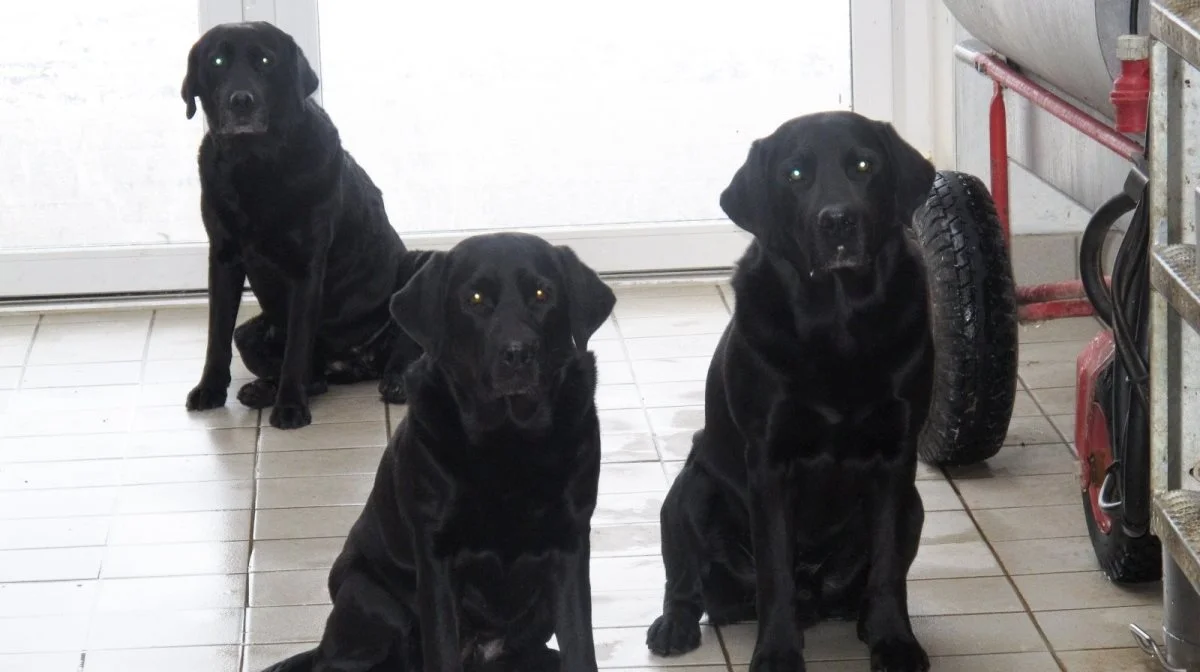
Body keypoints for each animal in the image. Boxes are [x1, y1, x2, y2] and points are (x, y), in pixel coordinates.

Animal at [175, 23, 424, 429]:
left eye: (265, 61)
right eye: (217, 61)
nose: (240, 101)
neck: (254, 165)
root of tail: (356, 364)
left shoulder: (307, 267)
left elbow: (297, 345)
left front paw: (290, 407)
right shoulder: (223, 259)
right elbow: (217, 335)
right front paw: (210, 389)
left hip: (421, 265)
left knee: (402, 350)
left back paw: (396, 381)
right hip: (251, 332)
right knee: (313, 377)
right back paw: (262, 389)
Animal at [264, 232, 619, 672]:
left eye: (542, 293)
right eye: (475, 298)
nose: (518, 353)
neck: (509, 437)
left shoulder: (569, 543)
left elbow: (580, 645)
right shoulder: (436, 555)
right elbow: (442, 647)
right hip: (369, 596)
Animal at [648, 112, 936, 667]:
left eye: (864, 165)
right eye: (795, 174)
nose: (837, 221)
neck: (839, 323)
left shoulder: (896, 456)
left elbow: (888, 565)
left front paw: (894, 641)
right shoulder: (769, 459)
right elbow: (774, 571)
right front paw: (778, 653)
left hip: (915, 505)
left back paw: (862, 621)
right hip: (690, 489)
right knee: (686, 580)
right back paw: (675, 625)